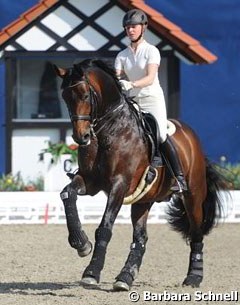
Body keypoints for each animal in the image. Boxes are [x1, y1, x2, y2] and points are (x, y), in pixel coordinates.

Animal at [53, 57, 226, 290]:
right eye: (65, 97)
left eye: (84, 95)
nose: (82, 137)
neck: (110, 130)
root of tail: (191, 137)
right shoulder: (90, 182)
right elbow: (67, 194)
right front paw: (81, 243)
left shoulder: (119, 184)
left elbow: (104, 227)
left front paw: (92, 272)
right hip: (143, 200)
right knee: (141, 238)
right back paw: (124, 277)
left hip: (193, 196)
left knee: (196, 233)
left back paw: (193, 277)